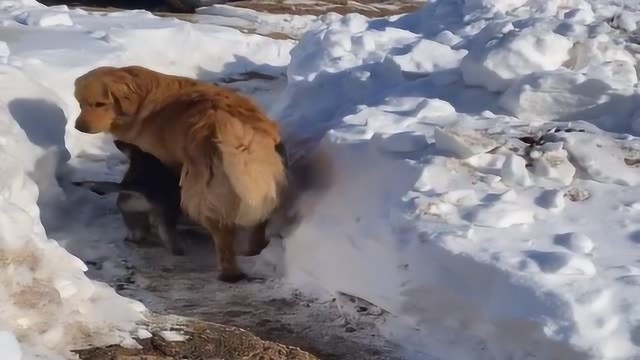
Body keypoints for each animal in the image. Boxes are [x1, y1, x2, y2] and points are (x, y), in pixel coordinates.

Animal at [72, 66, 288, 282]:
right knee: (259, 220)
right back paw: (253, 252)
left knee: (221, 234)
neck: (141, 100)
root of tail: (242, 139)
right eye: (80, 103)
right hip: (262, 188)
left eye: (100, 104)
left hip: (200, 192)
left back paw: (228, 271)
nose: (78, 127)